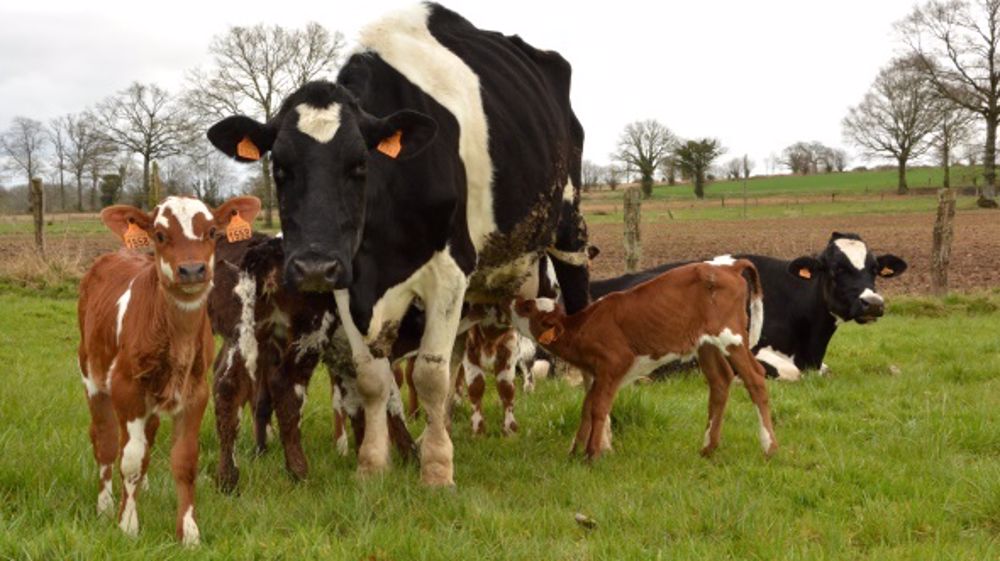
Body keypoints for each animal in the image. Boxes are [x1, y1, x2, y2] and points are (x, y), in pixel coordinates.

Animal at [77, 195, 260, 545]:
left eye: (212, 231)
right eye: (160, 235)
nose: (192, 269)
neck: (176, 340)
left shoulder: (196, 393)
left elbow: (185, 460)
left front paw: (188, 533)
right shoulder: (127, 389)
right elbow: (130, 460)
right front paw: (127, 525)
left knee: (146, 437)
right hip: (92, 376)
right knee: (105, 441)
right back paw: (105, 506)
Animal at [208, 3, 589, 485]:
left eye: (359, 164)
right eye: (280, 167)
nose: (311, 266)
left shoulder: (449, 272)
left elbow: (429, 375)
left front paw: (437, 472)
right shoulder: (348, 283)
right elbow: (374, 377)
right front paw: (373, 465)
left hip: (569, 231)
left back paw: (593, 439)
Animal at [511, 258, 776, 460]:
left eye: (527, 308)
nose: (513, 300)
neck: (584, 326)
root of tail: (727, 267)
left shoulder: (614, 364)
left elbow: (599, 408)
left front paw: (592, 454)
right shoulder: (598, 373)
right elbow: (587, 407)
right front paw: (575, 452)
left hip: (732, 336)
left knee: (755, 378)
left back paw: (769, 447)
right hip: (706, 344)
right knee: (720, 381)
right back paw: (708, 448)